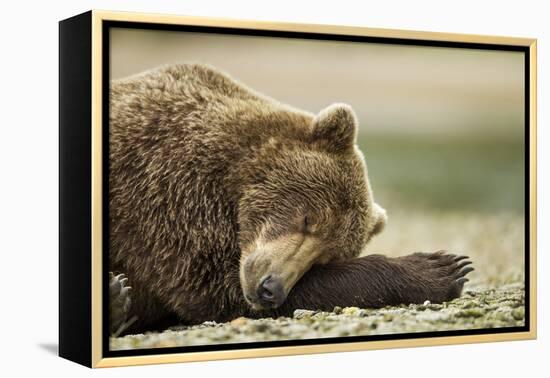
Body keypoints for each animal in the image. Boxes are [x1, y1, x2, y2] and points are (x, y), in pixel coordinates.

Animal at [109, 63, 474, 336]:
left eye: (325, 257)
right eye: (307, 219)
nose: (271, 289)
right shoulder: (168, 194)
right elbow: (210, 286)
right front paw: (441, 268)